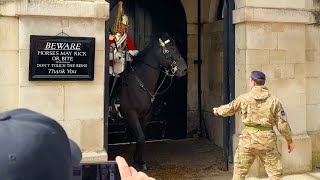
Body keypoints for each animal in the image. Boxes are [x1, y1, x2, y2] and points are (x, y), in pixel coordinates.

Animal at [109, 33, 188, 170]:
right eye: (172, 48)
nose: (184, 69)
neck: (139, 83)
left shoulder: (145, 115)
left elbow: (140, 138)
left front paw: (139, 161)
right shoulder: (131, 114)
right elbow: (140, 137)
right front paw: (138, 163)